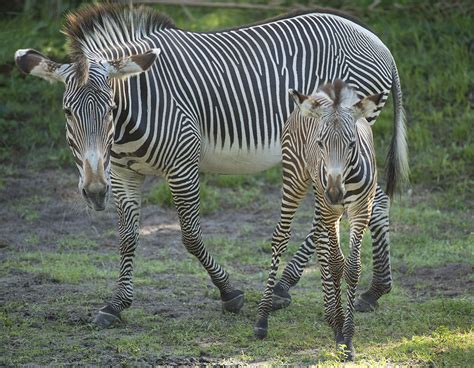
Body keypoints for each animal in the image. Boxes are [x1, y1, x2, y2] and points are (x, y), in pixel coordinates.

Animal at [15, 3, 408, 328]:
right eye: (67, 112)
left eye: (111, 109)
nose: (95, 192)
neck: (133, 112)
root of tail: (378, 41)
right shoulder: (124, 173)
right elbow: (127, 238)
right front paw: (116, 304)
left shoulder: (183, 164)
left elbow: (189, 236)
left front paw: (229, 293)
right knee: (375, 201)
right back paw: (374, 291)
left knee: (338, 210)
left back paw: (284, 287)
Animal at [256, 80, 382, 360]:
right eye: (321, 143)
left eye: (352, 144)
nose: (335, 193)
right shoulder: (330, 208)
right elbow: (336, 264)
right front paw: (341, 336)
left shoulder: (361, 210)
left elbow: (352, 268)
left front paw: (347, 335)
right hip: (297, 178)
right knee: (281, 237)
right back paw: (262, 319)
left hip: (320, 197)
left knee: (320, 241)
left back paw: (331, 316)